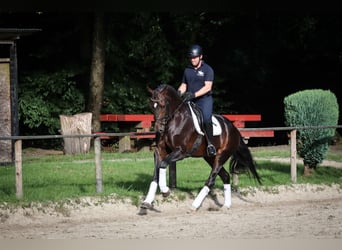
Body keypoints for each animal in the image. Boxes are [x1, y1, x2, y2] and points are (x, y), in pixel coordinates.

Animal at [140, 84, 260, 213]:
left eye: (163, 105)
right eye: (152, 106)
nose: (159, 129)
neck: (174, 120)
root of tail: (234, 129)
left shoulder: (181, 152)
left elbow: (162, 164)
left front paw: (165, 191)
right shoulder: (160, 151)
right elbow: (156, 174)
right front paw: (147, 202)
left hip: (222, 155)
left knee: (211, 180)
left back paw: (194, 205)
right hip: (210, 157)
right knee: (225, 176)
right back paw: (226, 205)